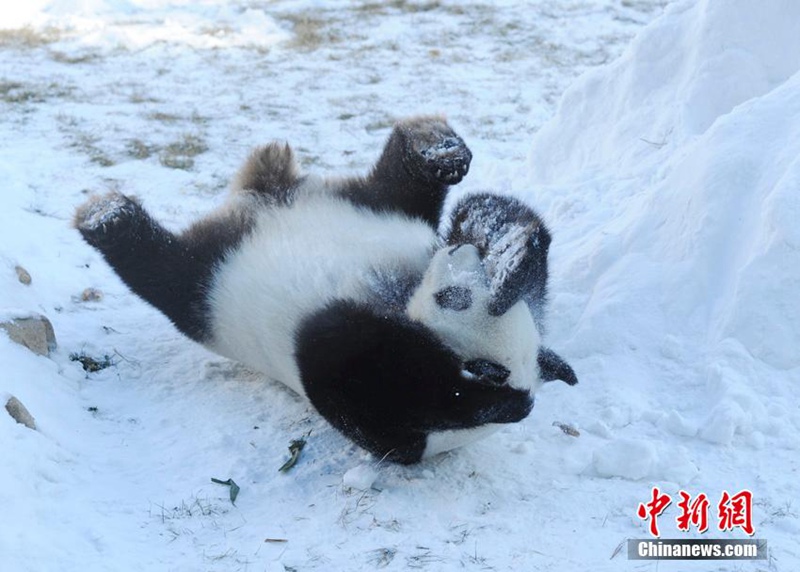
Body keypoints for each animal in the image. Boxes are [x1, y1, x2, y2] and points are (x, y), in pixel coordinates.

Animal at [73, 116, 576, 464]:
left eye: (454, 298)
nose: (457, 252)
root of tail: (266, 199)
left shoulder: (391, 418)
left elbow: (336, 347)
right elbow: (523, 258)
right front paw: (502, 245)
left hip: (213, 286)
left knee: (162, 273)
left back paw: (108, 218)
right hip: (374, 205)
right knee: (409, 183)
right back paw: (438, 148)